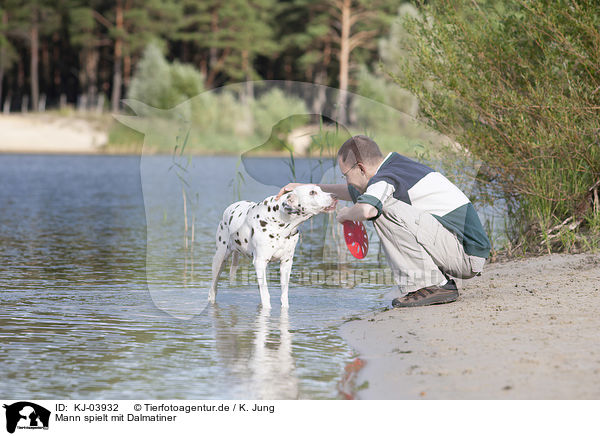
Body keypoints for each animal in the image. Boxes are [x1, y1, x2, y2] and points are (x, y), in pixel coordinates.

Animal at [210, 183, 338, 306]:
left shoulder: (286, 263)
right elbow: (266, 297)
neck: (280, 224)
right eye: (312, 192)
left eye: (320, 189)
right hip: (219, 261)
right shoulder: (260, 262)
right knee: (212, 290)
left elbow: (284, 295)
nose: (335, 196)